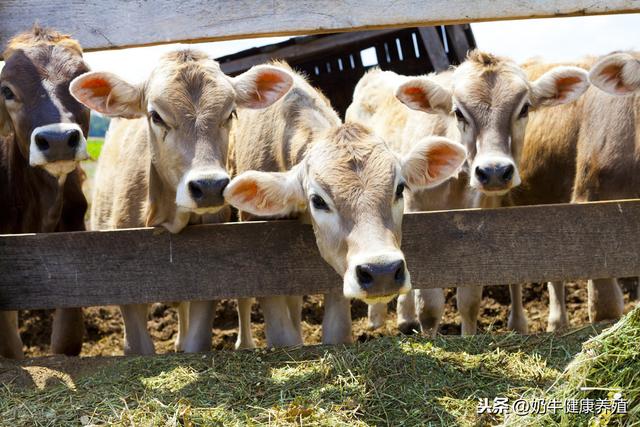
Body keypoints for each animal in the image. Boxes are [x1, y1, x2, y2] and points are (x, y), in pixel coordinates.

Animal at [348, 51, 588, 338]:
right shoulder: (418, 217)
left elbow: (469, 300)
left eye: (524, 108)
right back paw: (376, 319)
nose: (494, 171)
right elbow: (430, 305)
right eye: (458, 113)